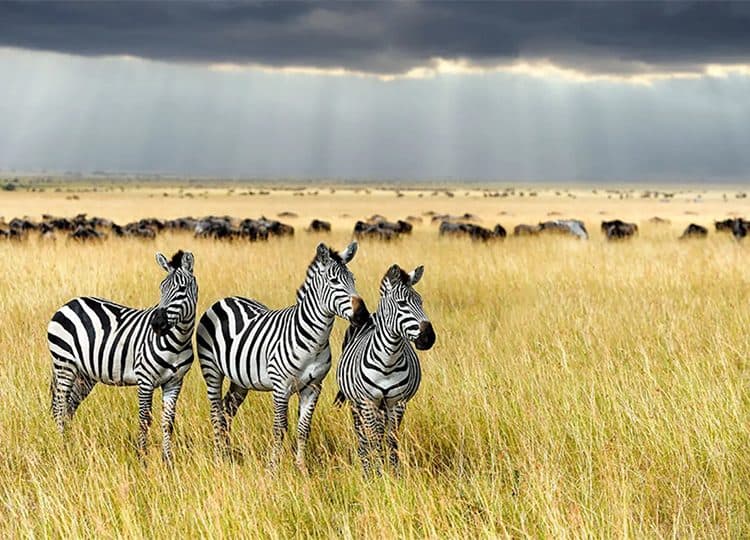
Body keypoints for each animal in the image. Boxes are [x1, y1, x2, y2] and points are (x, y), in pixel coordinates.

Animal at [47, 250, 198, 464]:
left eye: (182, 289)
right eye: (161, 288)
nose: (156, 324)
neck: (178, 341)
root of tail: (69, 303)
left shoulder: (175, 382)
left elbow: (168, 422)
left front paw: (167, 461)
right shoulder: (145, 379)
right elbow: (144, 420)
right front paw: (142, 459)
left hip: (85, 374)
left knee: (69, 409)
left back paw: (70, 448)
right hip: (64, 364)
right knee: (59, 408)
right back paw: (62, 450)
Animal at [197, 241, 369, 471]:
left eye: (353, 280)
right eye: (334, 281)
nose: (363, 315)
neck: (314, 341)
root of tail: (225, 299)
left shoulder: (313, 387)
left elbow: (303, 428)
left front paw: (301, 468)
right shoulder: (281, 387)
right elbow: (279, 428)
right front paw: (272, 469)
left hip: (240, 380)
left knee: (227, 410)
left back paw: (226, 454)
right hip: (212, 370)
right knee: (216, 412)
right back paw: (218, 459)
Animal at [334, 264, 436, 475]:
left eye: (421, 301)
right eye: (402, 303)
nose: (428, 338)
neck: (388, 361)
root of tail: (371, 314)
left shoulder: (397, 402)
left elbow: (391, 439)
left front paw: (394, 473)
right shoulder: (367, 401)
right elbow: (373, 439)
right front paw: (378, 473)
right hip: (356, 404)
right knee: (363, 437)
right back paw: (366, 467)